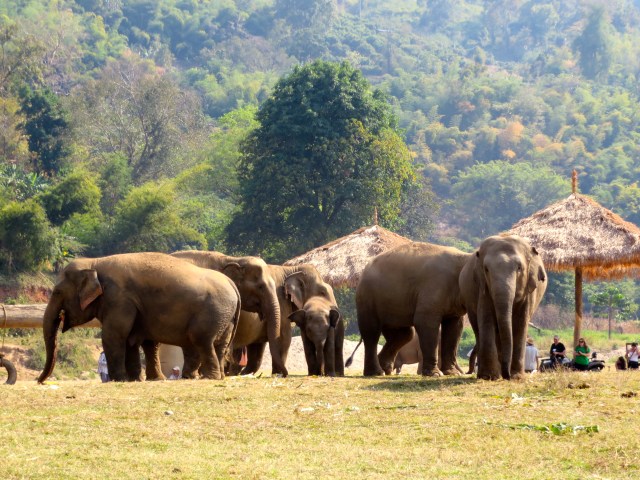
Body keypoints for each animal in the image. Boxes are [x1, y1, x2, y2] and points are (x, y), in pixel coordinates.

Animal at [37, 252, 241, 383]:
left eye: (57, 292)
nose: (40, 381)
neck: (94, 263)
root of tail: (232, 284)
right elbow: (131, 339)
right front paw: (134, 379)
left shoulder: (119, 298)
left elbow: (114, 335)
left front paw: (119, 380)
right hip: (226, 316)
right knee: (218, 344)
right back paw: (209, 376)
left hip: (213, 312)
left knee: (201, 340)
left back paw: (208, 377)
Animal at [355, 242, 470, 377]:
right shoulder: (433, 288)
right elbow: (425, 322)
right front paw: (435, 374)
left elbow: (454, 327)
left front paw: (452, 373)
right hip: (367, 298)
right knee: (371, 332)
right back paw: (376, 373)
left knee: (404, 334)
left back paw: (385, 369)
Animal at [459, 234, 546, 380]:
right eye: (486, 269)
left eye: (519, 268)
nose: (507, 376)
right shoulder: (483, 289)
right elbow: (487, 319)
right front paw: (488, 377)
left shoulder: (528, 292)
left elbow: (520, 323)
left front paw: (516, 376)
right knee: (478, 328)